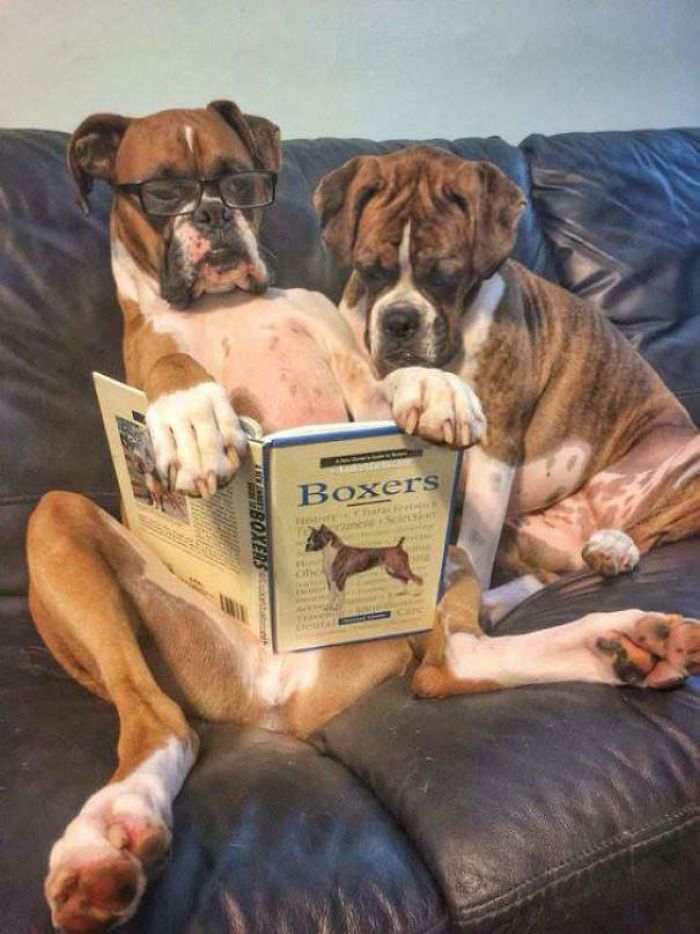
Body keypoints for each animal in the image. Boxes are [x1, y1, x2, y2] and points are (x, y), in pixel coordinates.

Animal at [314, 146, 700, 624]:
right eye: (368, 270)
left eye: (446, 276)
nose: (399, 320)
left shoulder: (494, 446)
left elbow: (476, 543)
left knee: (650, 532)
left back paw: (614, 547)